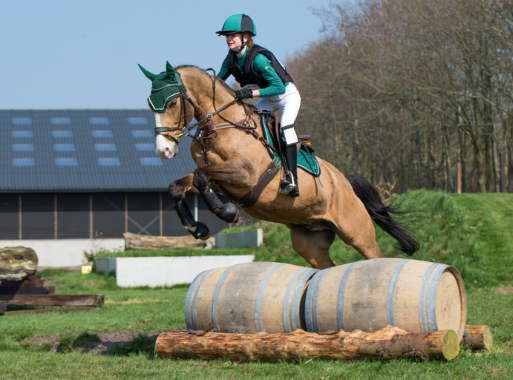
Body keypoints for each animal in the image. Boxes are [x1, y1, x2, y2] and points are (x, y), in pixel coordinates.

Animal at [138, 62, 418, 268]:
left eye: (172, 103)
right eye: (150, 105)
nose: (163, 150)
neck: (219, 126)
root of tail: (345, 182)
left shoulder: (245, 174)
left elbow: (200, 176)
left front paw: (226, 212)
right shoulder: (219, 180)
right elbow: (180, 185)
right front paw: (197, 228)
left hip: (357, 232)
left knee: (375, 256)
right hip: (310, 243)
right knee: (327, 268)